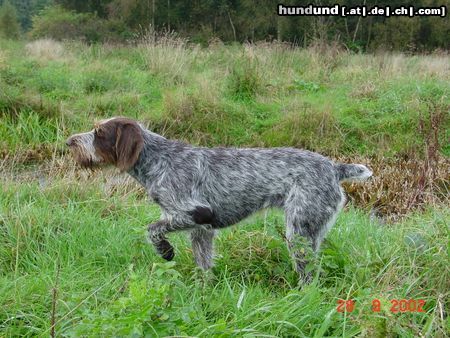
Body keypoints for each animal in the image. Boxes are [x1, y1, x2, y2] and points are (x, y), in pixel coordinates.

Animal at [65, 117, 370, 280]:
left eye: (99, 133)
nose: (69, 142)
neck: (159, 161)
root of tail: (334, 167)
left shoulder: (194, 214)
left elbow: (152, 229)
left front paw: (165, 251)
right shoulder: (202, 230)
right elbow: (204, 265)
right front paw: (203, 291)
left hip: (299, 231)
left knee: (309, 273)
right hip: (311, 230)